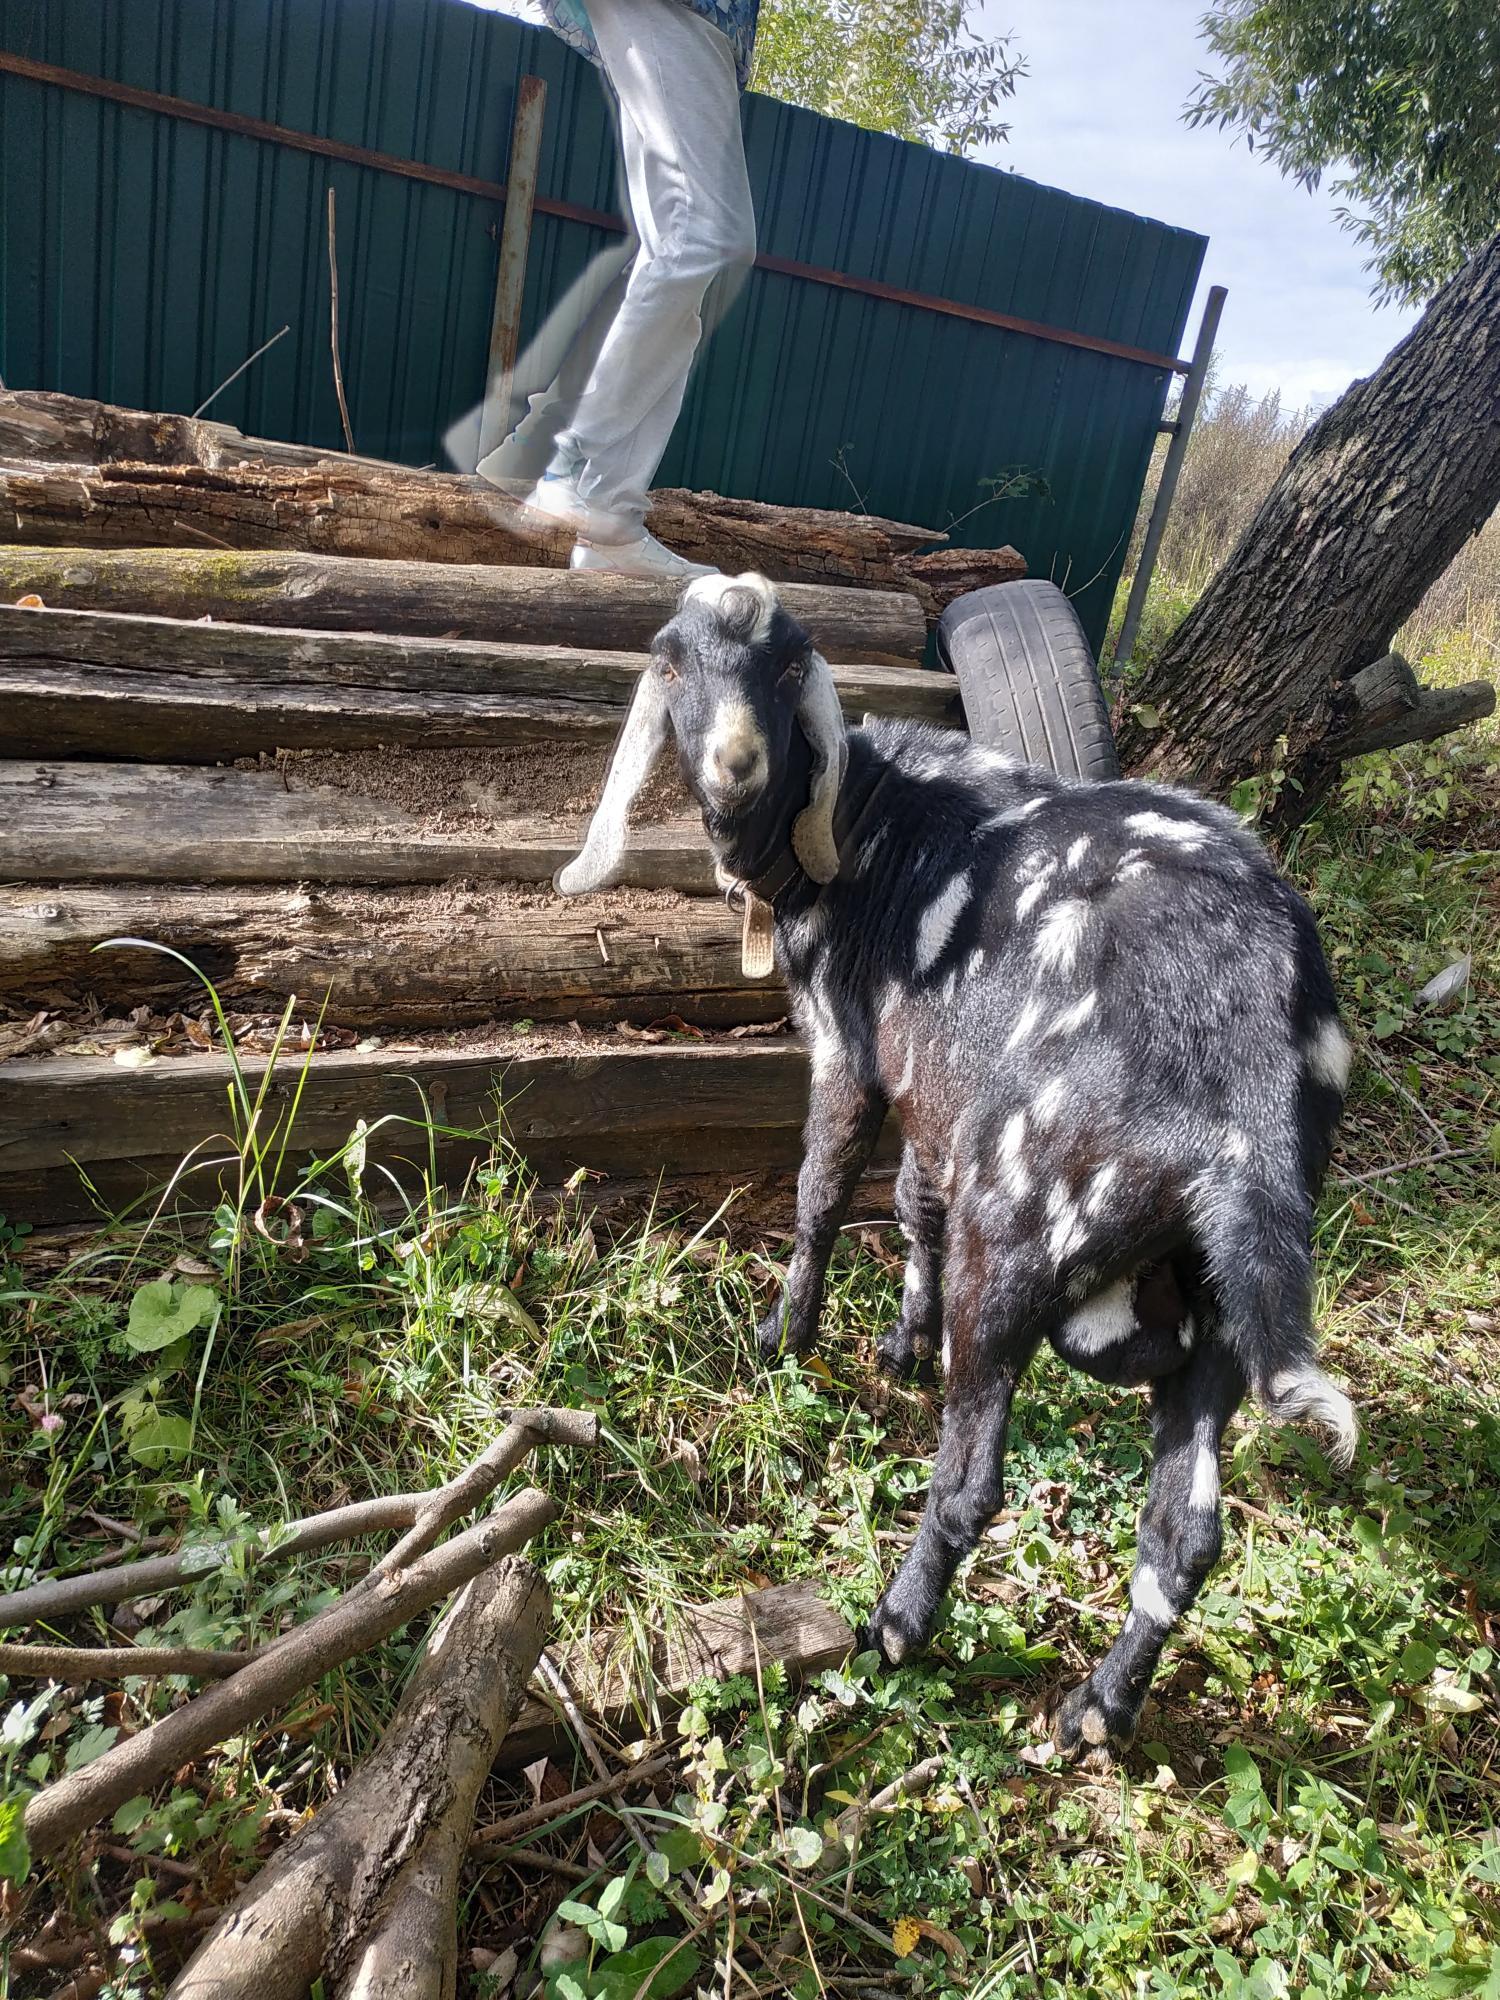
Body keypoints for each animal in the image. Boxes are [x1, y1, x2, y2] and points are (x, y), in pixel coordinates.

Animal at [564, 572, 1360, 1760]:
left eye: (790, 665)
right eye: (668, 660)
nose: (737, 763)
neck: (869, 820)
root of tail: (1249, 1070)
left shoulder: (850, 1049)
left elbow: (823, 1188)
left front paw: (784, 1337)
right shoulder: (936, 1089)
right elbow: (910, 1200)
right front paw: (900, 1339)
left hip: (1023, 1232)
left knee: (975, 1478)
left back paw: (897, 1624)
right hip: (1219, 1305)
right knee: (1185, 1533)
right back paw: (1096, 1711)